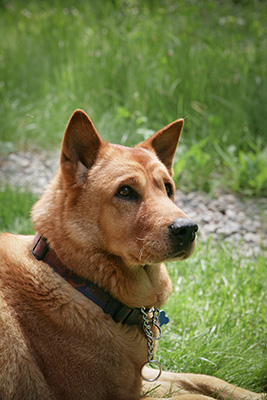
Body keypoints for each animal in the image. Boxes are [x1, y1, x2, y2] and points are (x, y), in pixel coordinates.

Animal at [0, 110, 264, 400]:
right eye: (125, 191)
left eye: (168, 189)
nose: (188, 229)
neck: (77, 280)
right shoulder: (121, 392)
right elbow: (196, 395)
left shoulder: (144, 375)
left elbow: (204, 378)